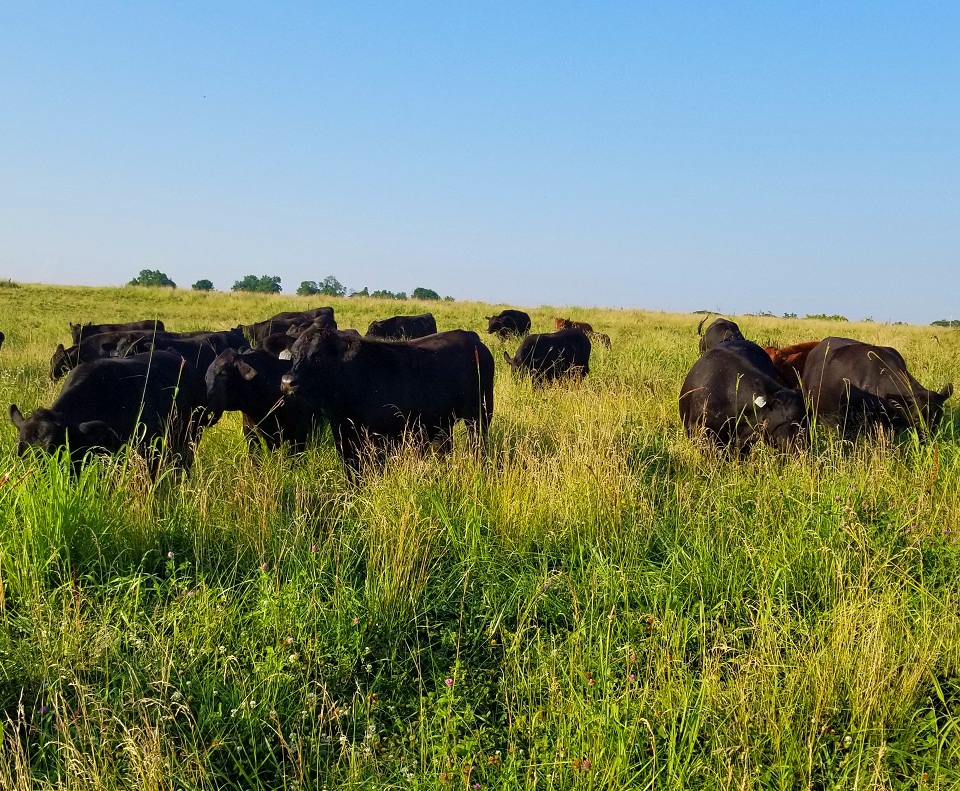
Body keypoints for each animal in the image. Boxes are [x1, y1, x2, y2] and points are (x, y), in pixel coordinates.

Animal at [282, 326, 496, 474]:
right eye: (294, 354)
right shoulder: (343, 435)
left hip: (481, 413)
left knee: (477, 443)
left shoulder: (383, 439)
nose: (287, 382)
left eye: (319, 356)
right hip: (443, 421)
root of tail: (471, 337)